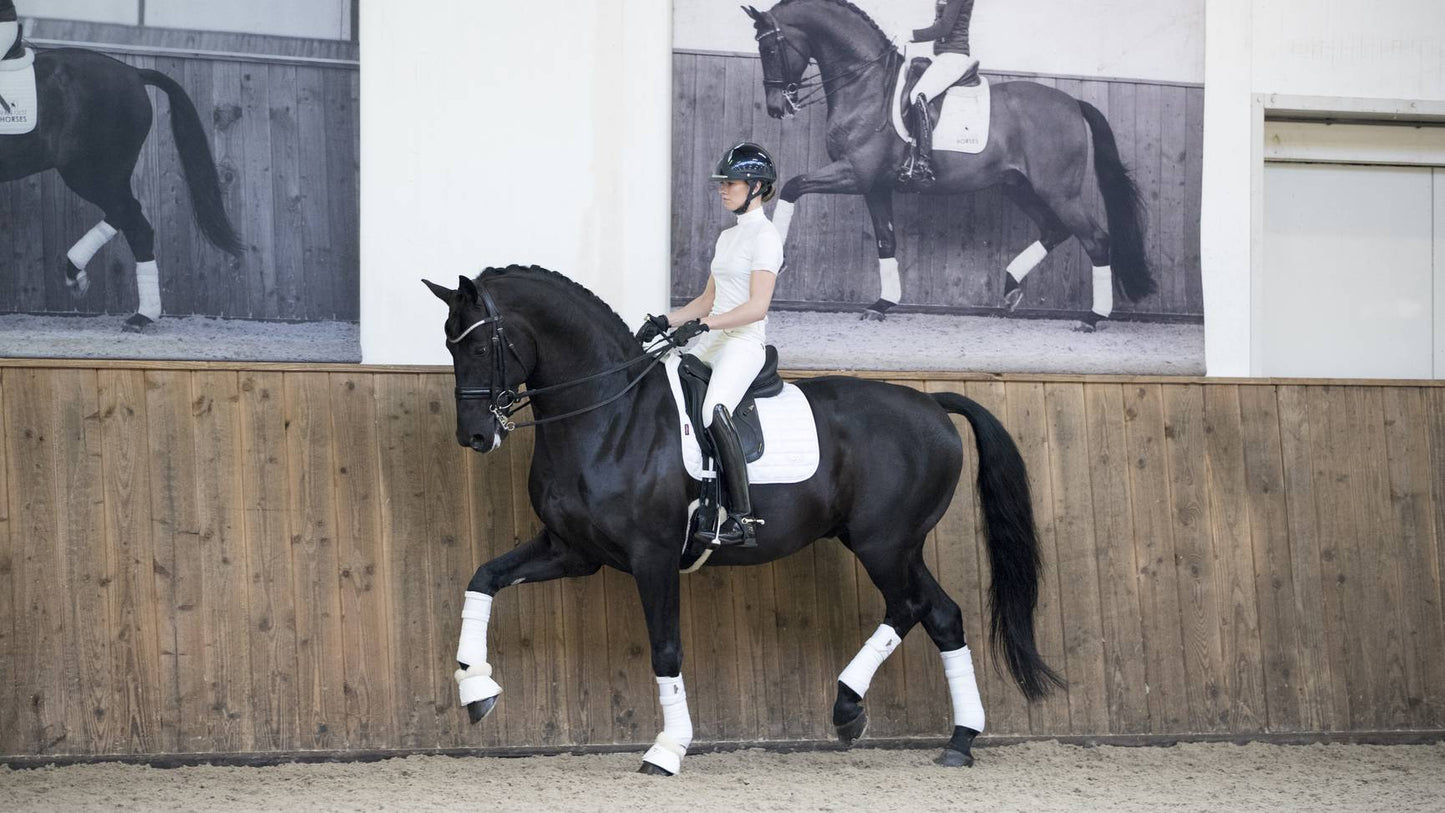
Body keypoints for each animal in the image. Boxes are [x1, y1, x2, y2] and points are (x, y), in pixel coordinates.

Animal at [0, 46, 239, 327]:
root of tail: (134, 73)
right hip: (102, 175)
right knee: (129, 215)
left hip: (90, 172)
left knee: (132, 219)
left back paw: (132, 310)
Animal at [421, 265, 1057, 774]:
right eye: (449, 346)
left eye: (478, 348)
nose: (474, 436)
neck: (610, 415)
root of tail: (932, 403)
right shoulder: (570, 552)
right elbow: (483, 578)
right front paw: (476, 687)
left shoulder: (652, 557)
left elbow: (666, 649)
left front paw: (668, 750)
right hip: (898, 545)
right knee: (943, 616)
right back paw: (959, 741)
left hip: (884, 543)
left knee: (910, 607)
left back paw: (848, 707)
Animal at [745, 2, 1150, 330]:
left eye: (769, 48)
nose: (776, 107)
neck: (866, 84)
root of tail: (1073, 103)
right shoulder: (875, 185)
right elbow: (886, 240)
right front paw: (882, 304)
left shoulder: (855, 172)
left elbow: (793, 185)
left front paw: (776, 259)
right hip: (1019, 186)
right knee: (1054, 229)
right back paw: (1010, 285)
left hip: (1059, 191)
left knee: (1096, 240)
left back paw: (1092, 318)